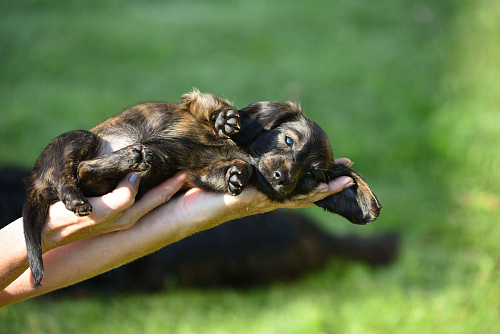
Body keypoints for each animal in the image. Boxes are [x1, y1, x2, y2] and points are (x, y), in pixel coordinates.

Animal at [22, 90, 382, 286]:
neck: (239, 149)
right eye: (288, 140)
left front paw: (235, 173)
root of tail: (35, 183)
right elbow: (210, 105)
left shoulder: (194, 172)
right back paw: (112, 169)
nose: (283, 178)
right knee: (71, 173)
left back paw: (135, 158)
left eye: (310, 175)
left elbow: (217, 171)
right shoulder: (193, 106)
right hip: (79, 139)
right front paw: (225, 119)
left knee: (86, 173)